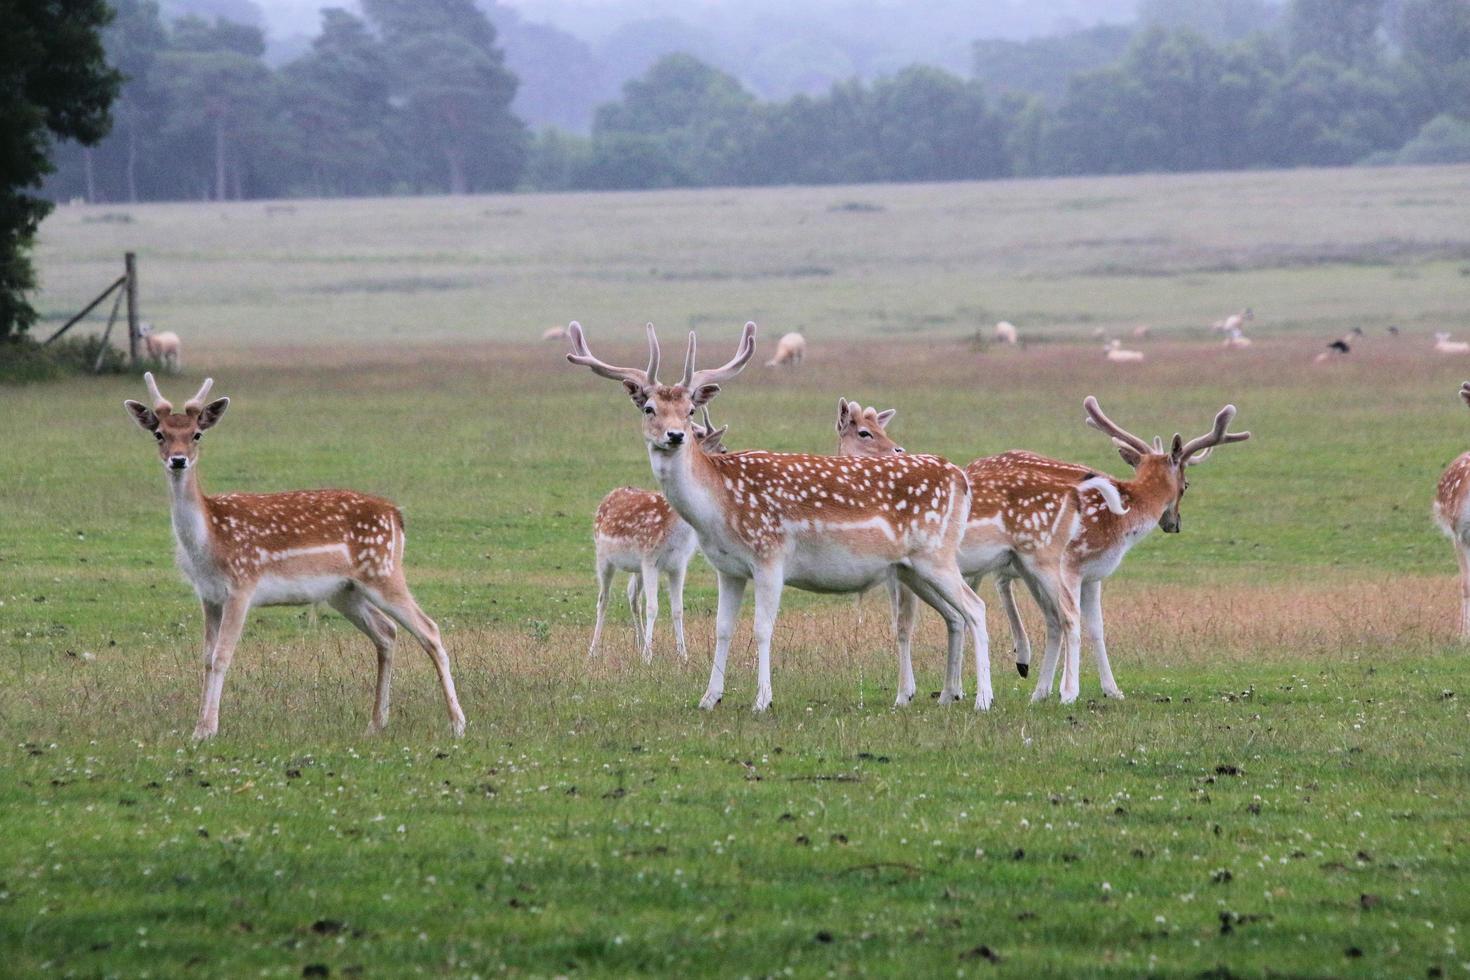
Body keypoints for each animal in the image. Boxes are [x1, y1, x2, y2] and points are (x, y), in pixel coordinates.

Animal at [122, 373, 464, 734]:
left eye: (196, 434)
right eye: (159, 433)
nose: (178, 459)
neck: (209, 539)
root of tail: (395, 514)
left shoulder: (242, 584)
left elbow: (223, 655)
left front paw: (208, 730)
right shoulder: (208, 595)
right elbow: (206, 657)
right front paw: (199, 727)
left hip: (383, 571)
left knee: (429, 629)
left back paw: (457, 723)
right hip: (344, 590)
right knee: (386, 632)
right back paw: (375, 724)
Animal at [588, 405, 732, 658]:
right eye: (722, 448)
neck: (675, 531)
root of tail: (608, 496)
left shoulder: (678, 564)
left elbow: (677, 609)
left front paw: (682, 655)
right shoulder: (649, 559)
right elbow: (653, 607)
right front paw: (648, 656)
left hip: (634, 567)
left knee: (632, 595)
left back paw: (637, 643)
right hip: (603, 557)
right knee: (603, 599)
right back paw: (594, 650)